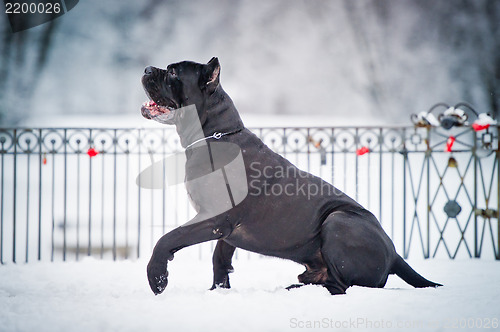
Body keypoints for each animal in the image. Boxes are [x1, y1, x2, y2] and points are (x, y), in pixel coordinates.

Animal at [141, 57, 442, 296]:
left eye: (173, 73)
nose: (146, 68)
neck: (215, 135)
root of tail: (395, 255)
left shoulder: (214, 218)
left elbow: (168, 238)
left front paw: (158, 278)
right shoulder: (224, 228)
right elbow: (219, 259)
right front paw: (218, 291)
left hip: (337, 221)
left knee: (342, 286)